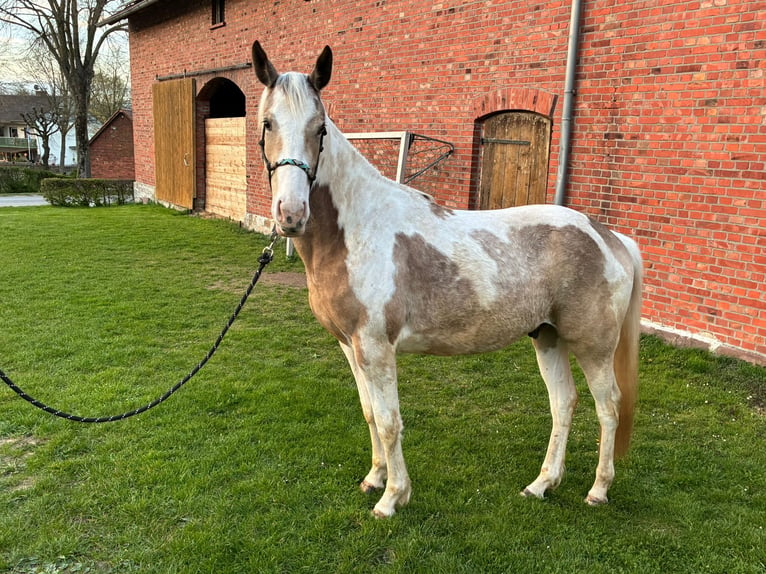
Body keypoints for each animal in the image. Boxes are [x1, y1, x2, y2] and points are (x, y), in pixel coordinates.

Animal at [251, 41, 643, 518]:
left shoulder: (377, 348)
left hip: (593, 346)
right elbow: (369, 413)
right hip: (547, 337)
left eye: (320, 128)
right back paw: (541, 484)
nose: (291, 214)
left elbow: (389, 421)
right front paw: (374, 478)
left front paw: (392, 497)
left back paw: (598, 489)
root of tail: (609, 237)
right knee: (563, 404)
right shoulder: (350, 346)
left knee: (608, 407)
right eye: (267, 123)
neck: (356, 228)